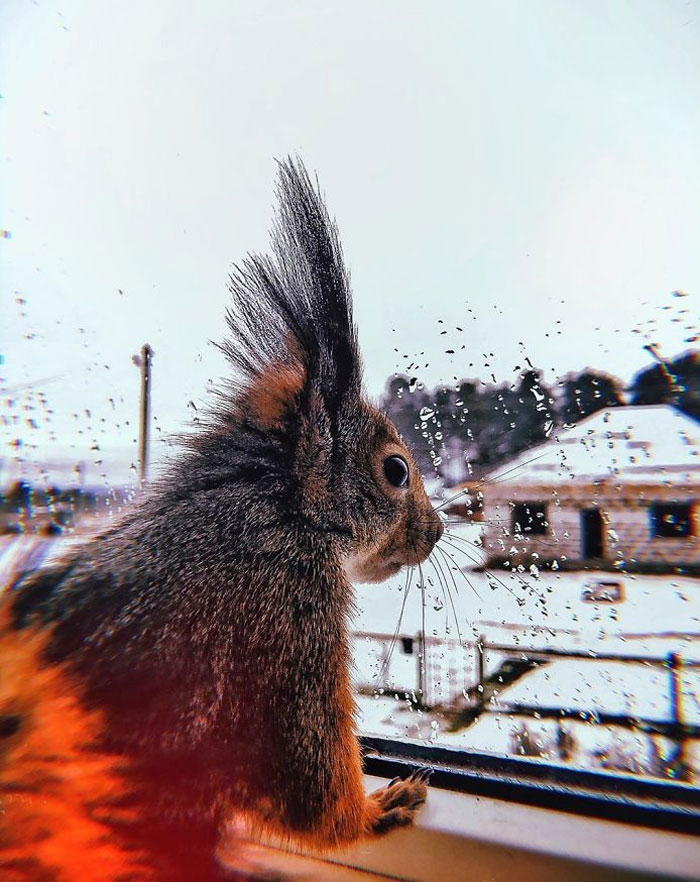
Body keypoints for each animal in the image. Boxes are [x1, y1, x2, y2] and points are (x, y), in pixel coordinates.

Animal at [0, 158, 444, 881]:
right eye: (396, 470)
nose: (436, 534)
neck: (270, 509)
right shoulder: (288, 623)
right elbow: (312, 792)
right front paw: (380, 808)